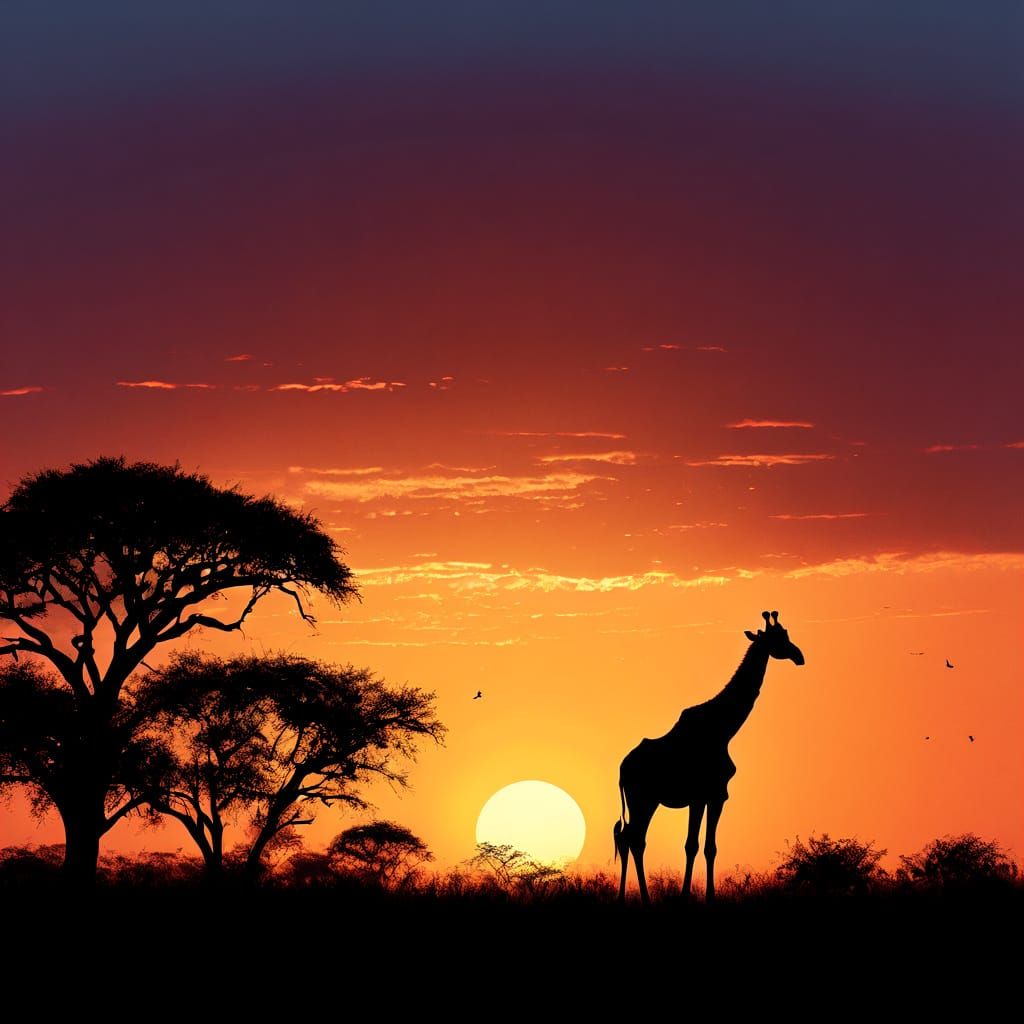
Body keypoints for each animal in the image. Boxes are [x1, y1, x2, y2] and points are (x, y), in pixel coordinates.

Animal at [614, 610, 804, 904]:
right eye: (777, 639)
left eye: (786, 634)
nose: (799, 656)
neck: (724, 729)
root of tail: (622, 769)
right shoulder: (702, 795)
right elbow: (692, 845)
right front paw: (686, 897)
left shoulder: (716, 795)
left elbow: (709, 847)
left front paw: (708, 897)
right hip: (641, 798)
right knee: (634, 839)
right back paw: (642, 899)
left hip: (647, 800)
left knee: (629, 838)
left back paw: (628, 898)